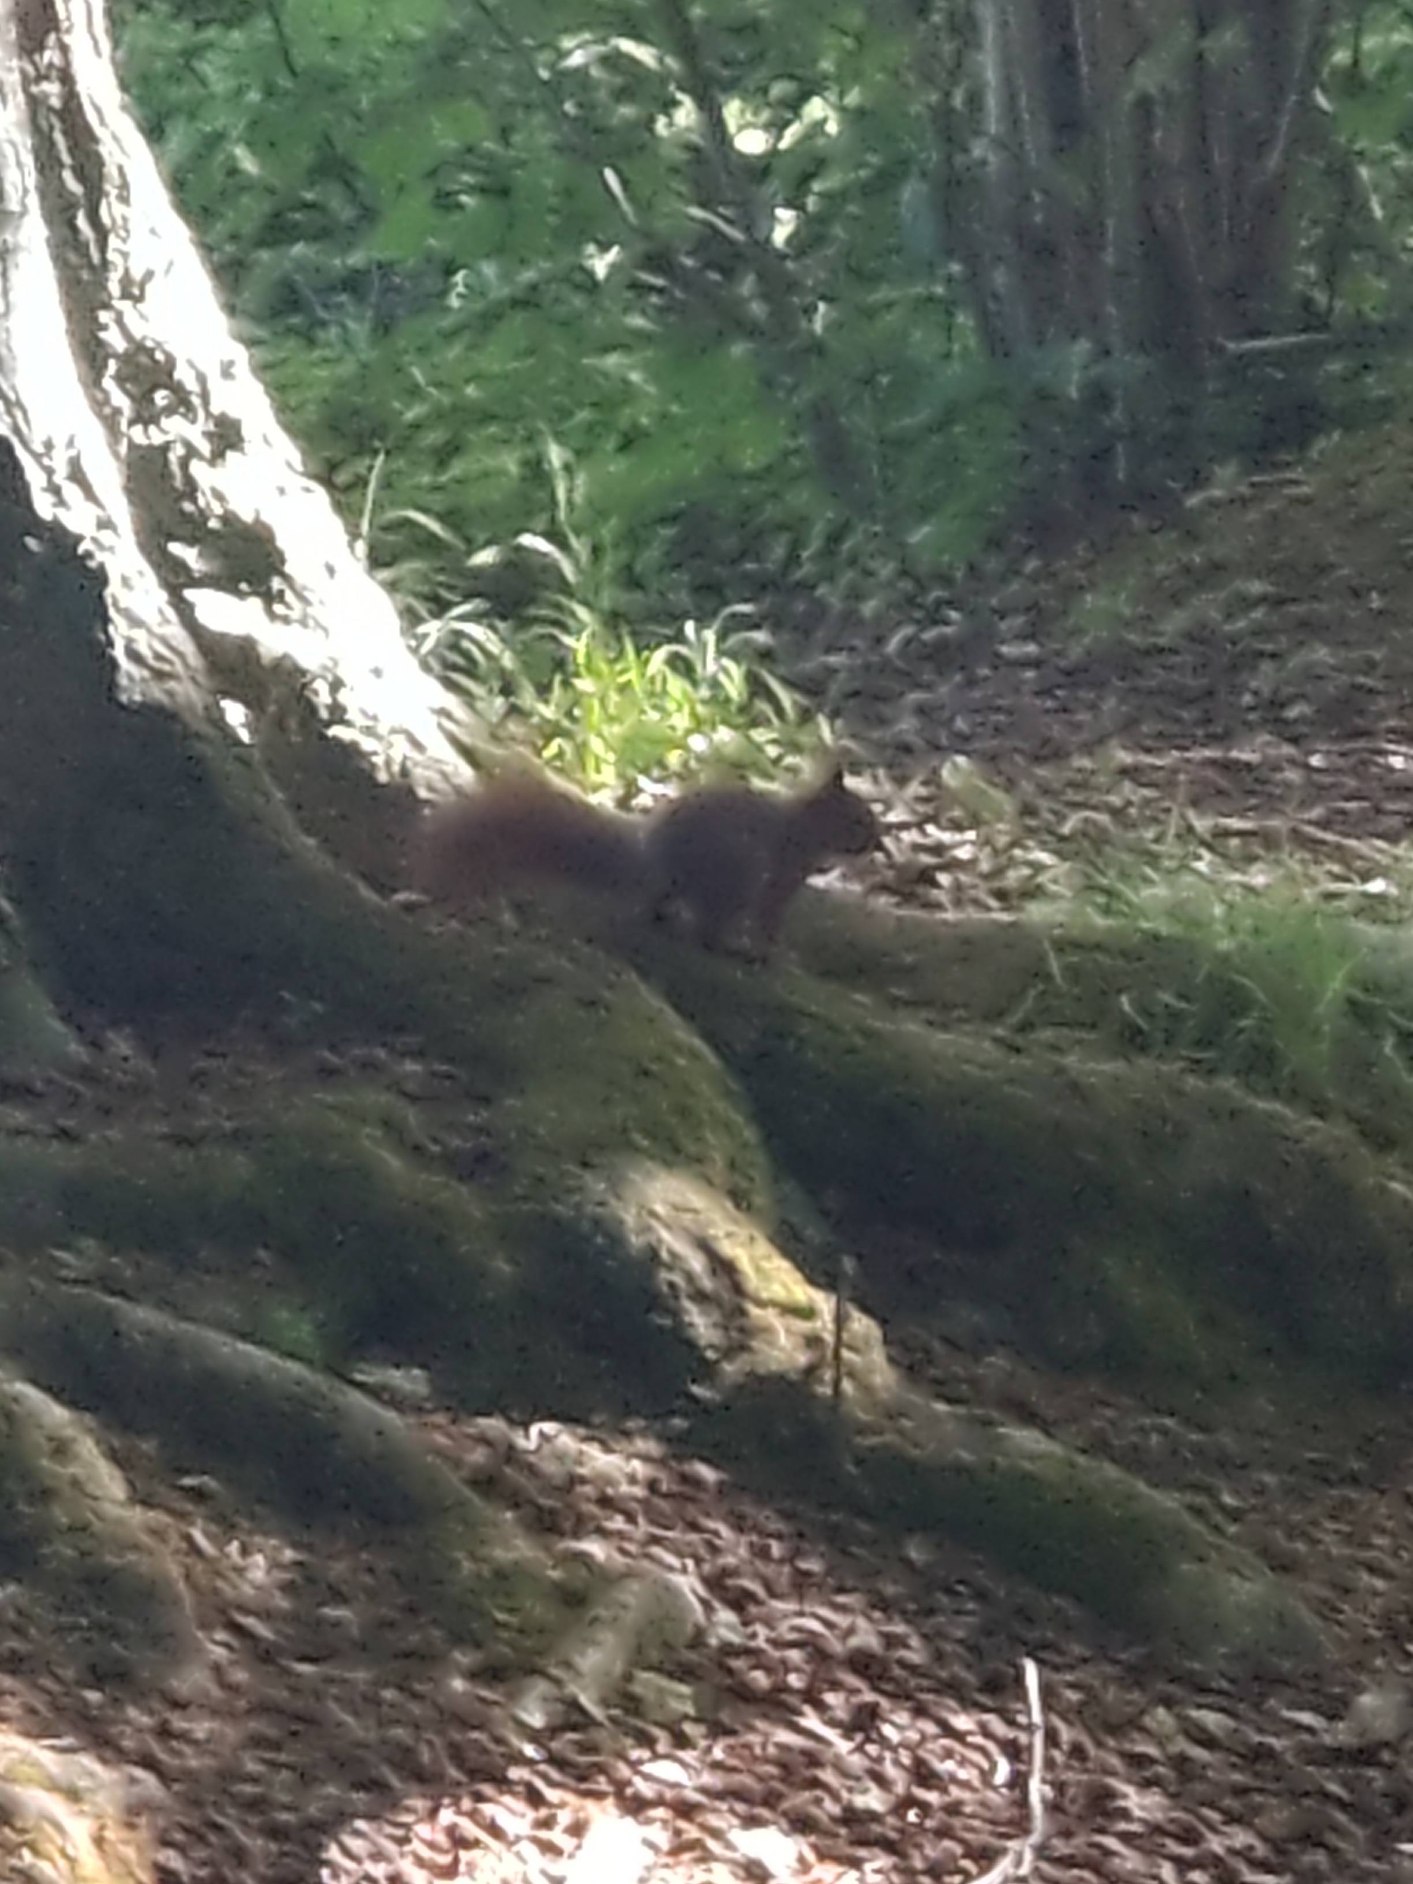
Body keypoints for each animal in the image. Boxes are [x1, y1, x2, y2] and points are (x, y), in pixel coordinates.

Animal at [415, 758, 880, 956]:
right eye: (859, 818)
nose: (877, 842)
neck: (801, 826)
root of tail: (658, 859)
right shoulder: (780, 876)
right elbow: (770, 918)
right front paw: (774, 949)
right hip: (740, 872)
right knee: (706, 930)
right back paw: (731, 946)